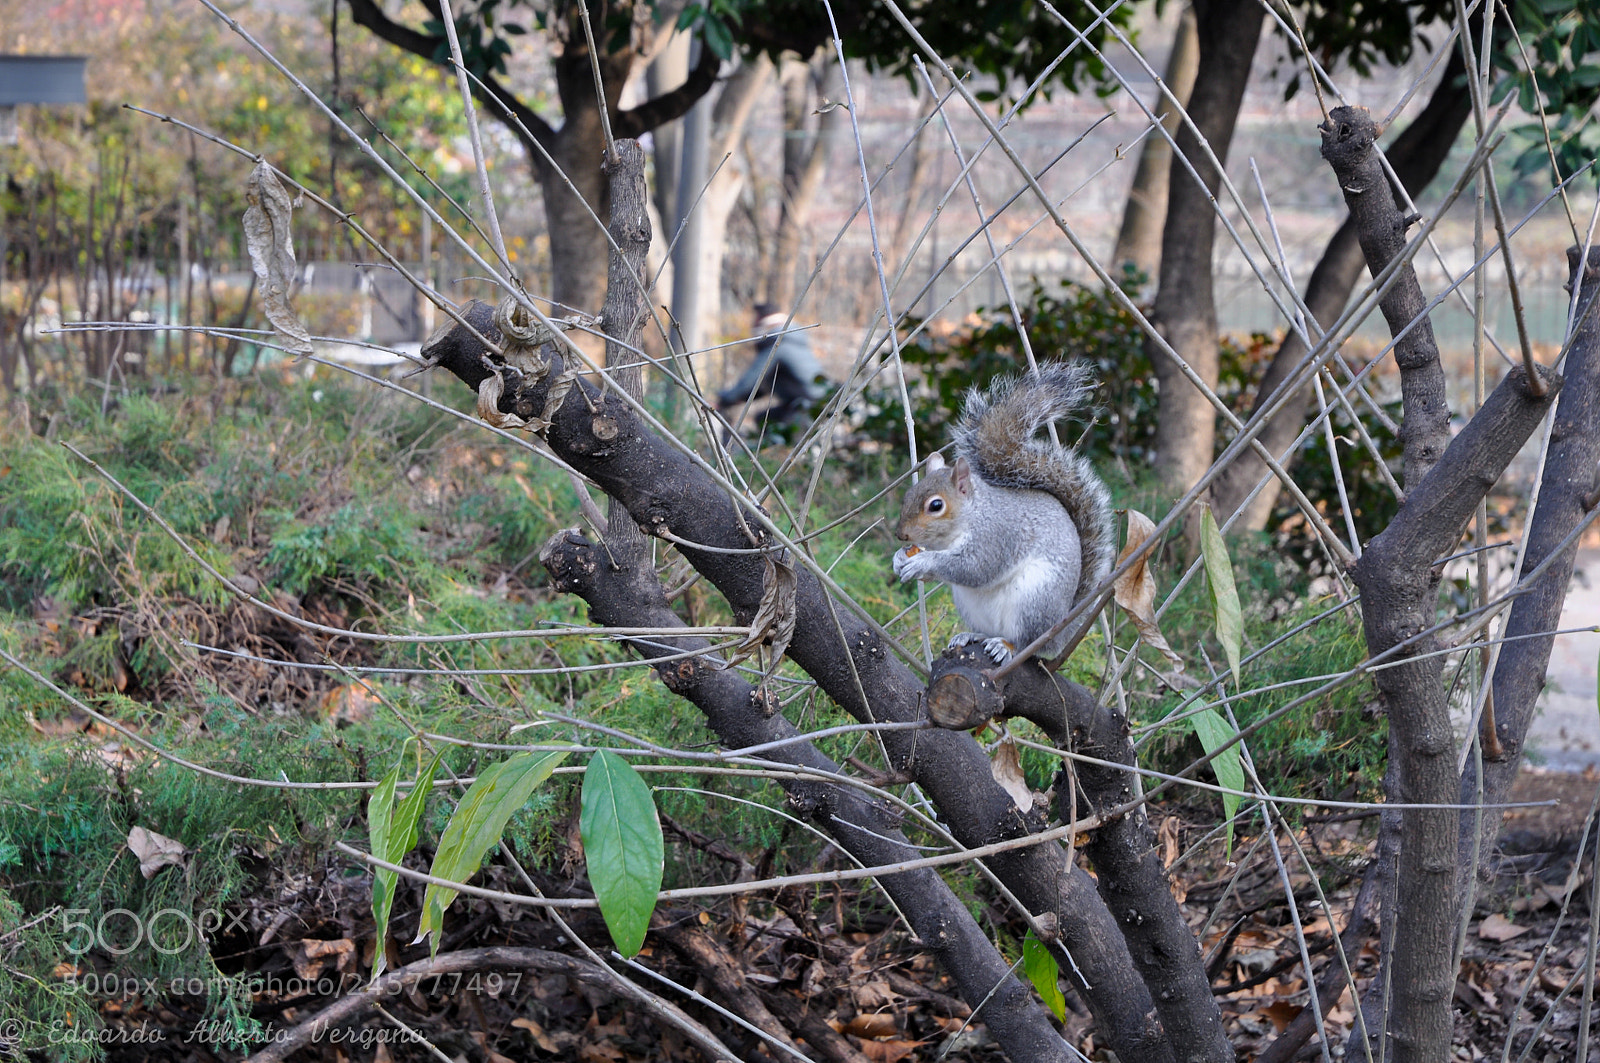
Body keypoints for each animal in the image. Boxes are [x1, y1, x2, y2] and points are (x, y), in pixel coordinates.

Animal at [892, 363, 1115, 666]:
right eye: (907, 496)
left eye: (935, 506)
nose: (901, 534)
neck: (972, 515)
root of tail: (1057, 633)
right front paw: (900, 558)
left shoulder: (997, 535)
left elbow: (975, 567)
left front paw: (924, 562)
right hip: (970, 605)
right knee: (988, 631)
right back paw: (971, 636)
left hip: (1033, 601)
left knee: (1025, 643)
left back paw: (1005, 646)